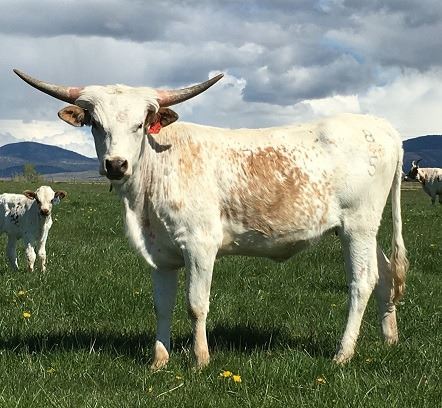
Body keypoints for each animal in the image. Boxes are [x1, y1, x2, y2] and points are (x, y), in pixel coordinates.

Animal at [14, 69, 408, 369]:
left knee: (362, 282)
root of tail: (382, 127)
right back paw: (389, 338)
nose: (115, 164)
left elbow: (195, 304)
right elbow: (162, 305)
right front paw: (159, 360)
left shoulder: (200, 245)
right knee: (386, 272)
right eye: (95, 124)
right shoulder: (160, 254)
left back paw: (343, 353)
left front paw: (201, 360)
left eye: (140, 124)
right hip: (361, 230)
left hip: (357, 225)